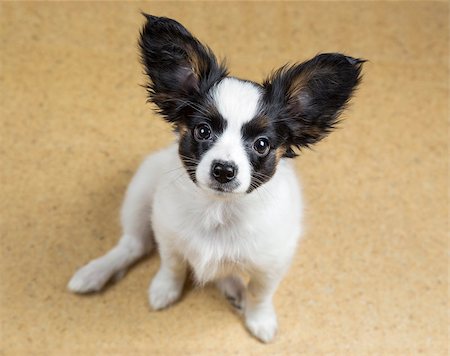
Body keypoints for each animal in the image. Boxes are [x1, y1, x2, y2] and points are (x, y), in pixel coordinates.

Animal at [68, 13, 364, 342]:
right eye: (202, 131)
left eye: (262, 144)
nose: (224, 169)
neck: (219, 210)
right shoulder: (169, 233)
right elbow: (171, 266)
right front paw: (164, 290)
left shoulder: (272, 261)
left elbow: (260, 293)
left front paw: (260, 319)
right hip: (141, 190)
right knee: (133, 245)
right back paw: (94, 273)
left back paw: (234, 288)